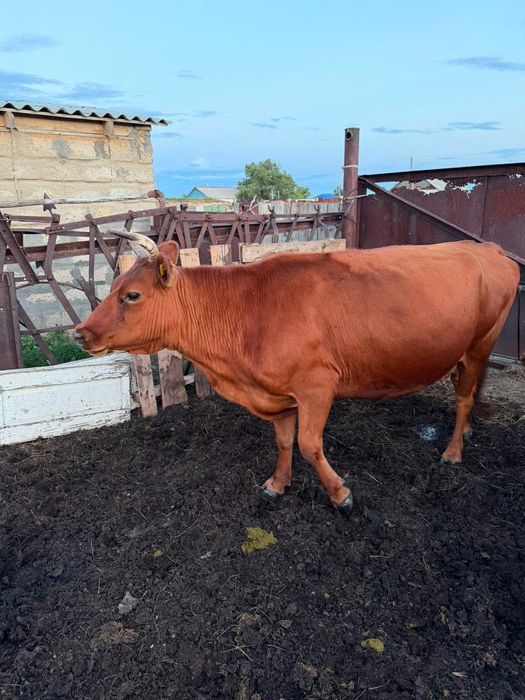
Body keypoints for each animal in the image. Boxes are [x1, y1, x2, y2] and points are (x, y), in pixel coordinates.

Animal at [74, 234, 519, 514]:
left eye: (132, 295)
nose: (80, 333)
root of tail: (487, 247)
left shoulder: (317, 386)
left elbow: (308, 444)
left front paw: (340, 495)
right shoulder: (277, 392)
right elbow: (285, 441)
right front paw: (277, 484)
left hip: (482, 341)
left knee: (463, 396)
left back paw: (453, 451)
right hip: (465, 350)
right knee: (468, 388)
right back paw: (468, 432)